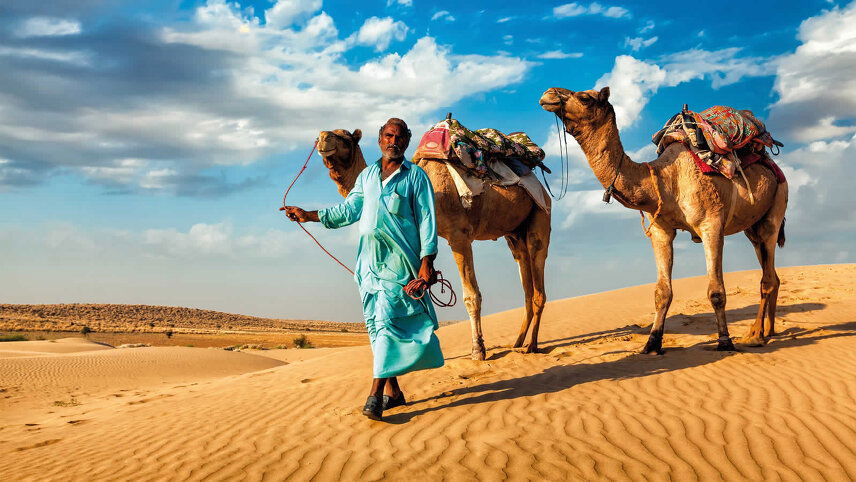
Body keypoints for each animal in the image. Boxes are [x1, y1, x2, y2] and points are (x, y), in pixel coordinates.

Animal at [318, 128, 552, 358]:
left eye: (345, 138)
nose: (322, 138)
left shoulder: (459, 235)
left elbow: (471, 296)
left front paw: (478, 349)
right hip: (513, 233)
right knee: (524, 276)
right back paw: (518, 342)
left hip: (540, 214)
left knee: (537, 270)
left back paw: (532, 345)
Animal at [540, 86, 788, 352]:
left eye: (585, 97)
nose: (548, 94)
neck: (665, 178)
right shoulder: (661, 229)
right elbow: (662, 292)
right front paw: (652, 343)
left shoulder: (711, 225)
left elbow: (716, 292)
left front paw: (724, 341)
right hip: (752, 228)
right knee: (771, 273)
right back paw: (767, 330)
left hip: (776, 206)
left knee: (767, 276)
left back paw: (755, 335)